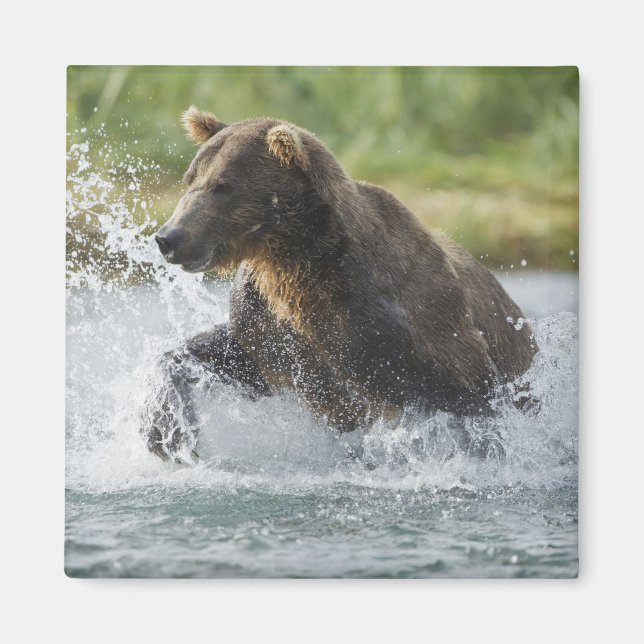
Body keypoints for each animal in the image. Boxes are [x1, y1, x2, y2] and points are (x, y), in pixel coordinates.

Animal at [144, 107, 537, 463]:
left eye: (223, 187)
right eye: (190, 178)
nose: (169, 237)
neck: (297, 260)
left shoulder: (405, 325)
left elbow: (467, 394)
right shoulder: (271, 324)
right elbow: (228, 354)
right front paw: (168, 432)